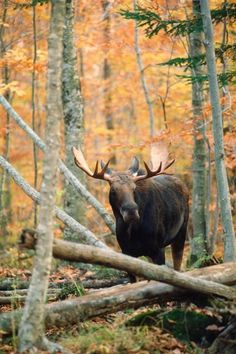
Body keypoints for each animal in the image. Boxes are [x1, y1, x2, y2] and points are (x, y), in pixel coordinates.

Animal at [73, 145, 189, 276]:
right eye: (113, 190)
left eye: (134, 189)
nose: (131, 211)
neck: (134, 231)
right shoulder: (127, 251)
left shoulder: (158, 249)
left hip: (181, 233)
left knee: (178, 266)